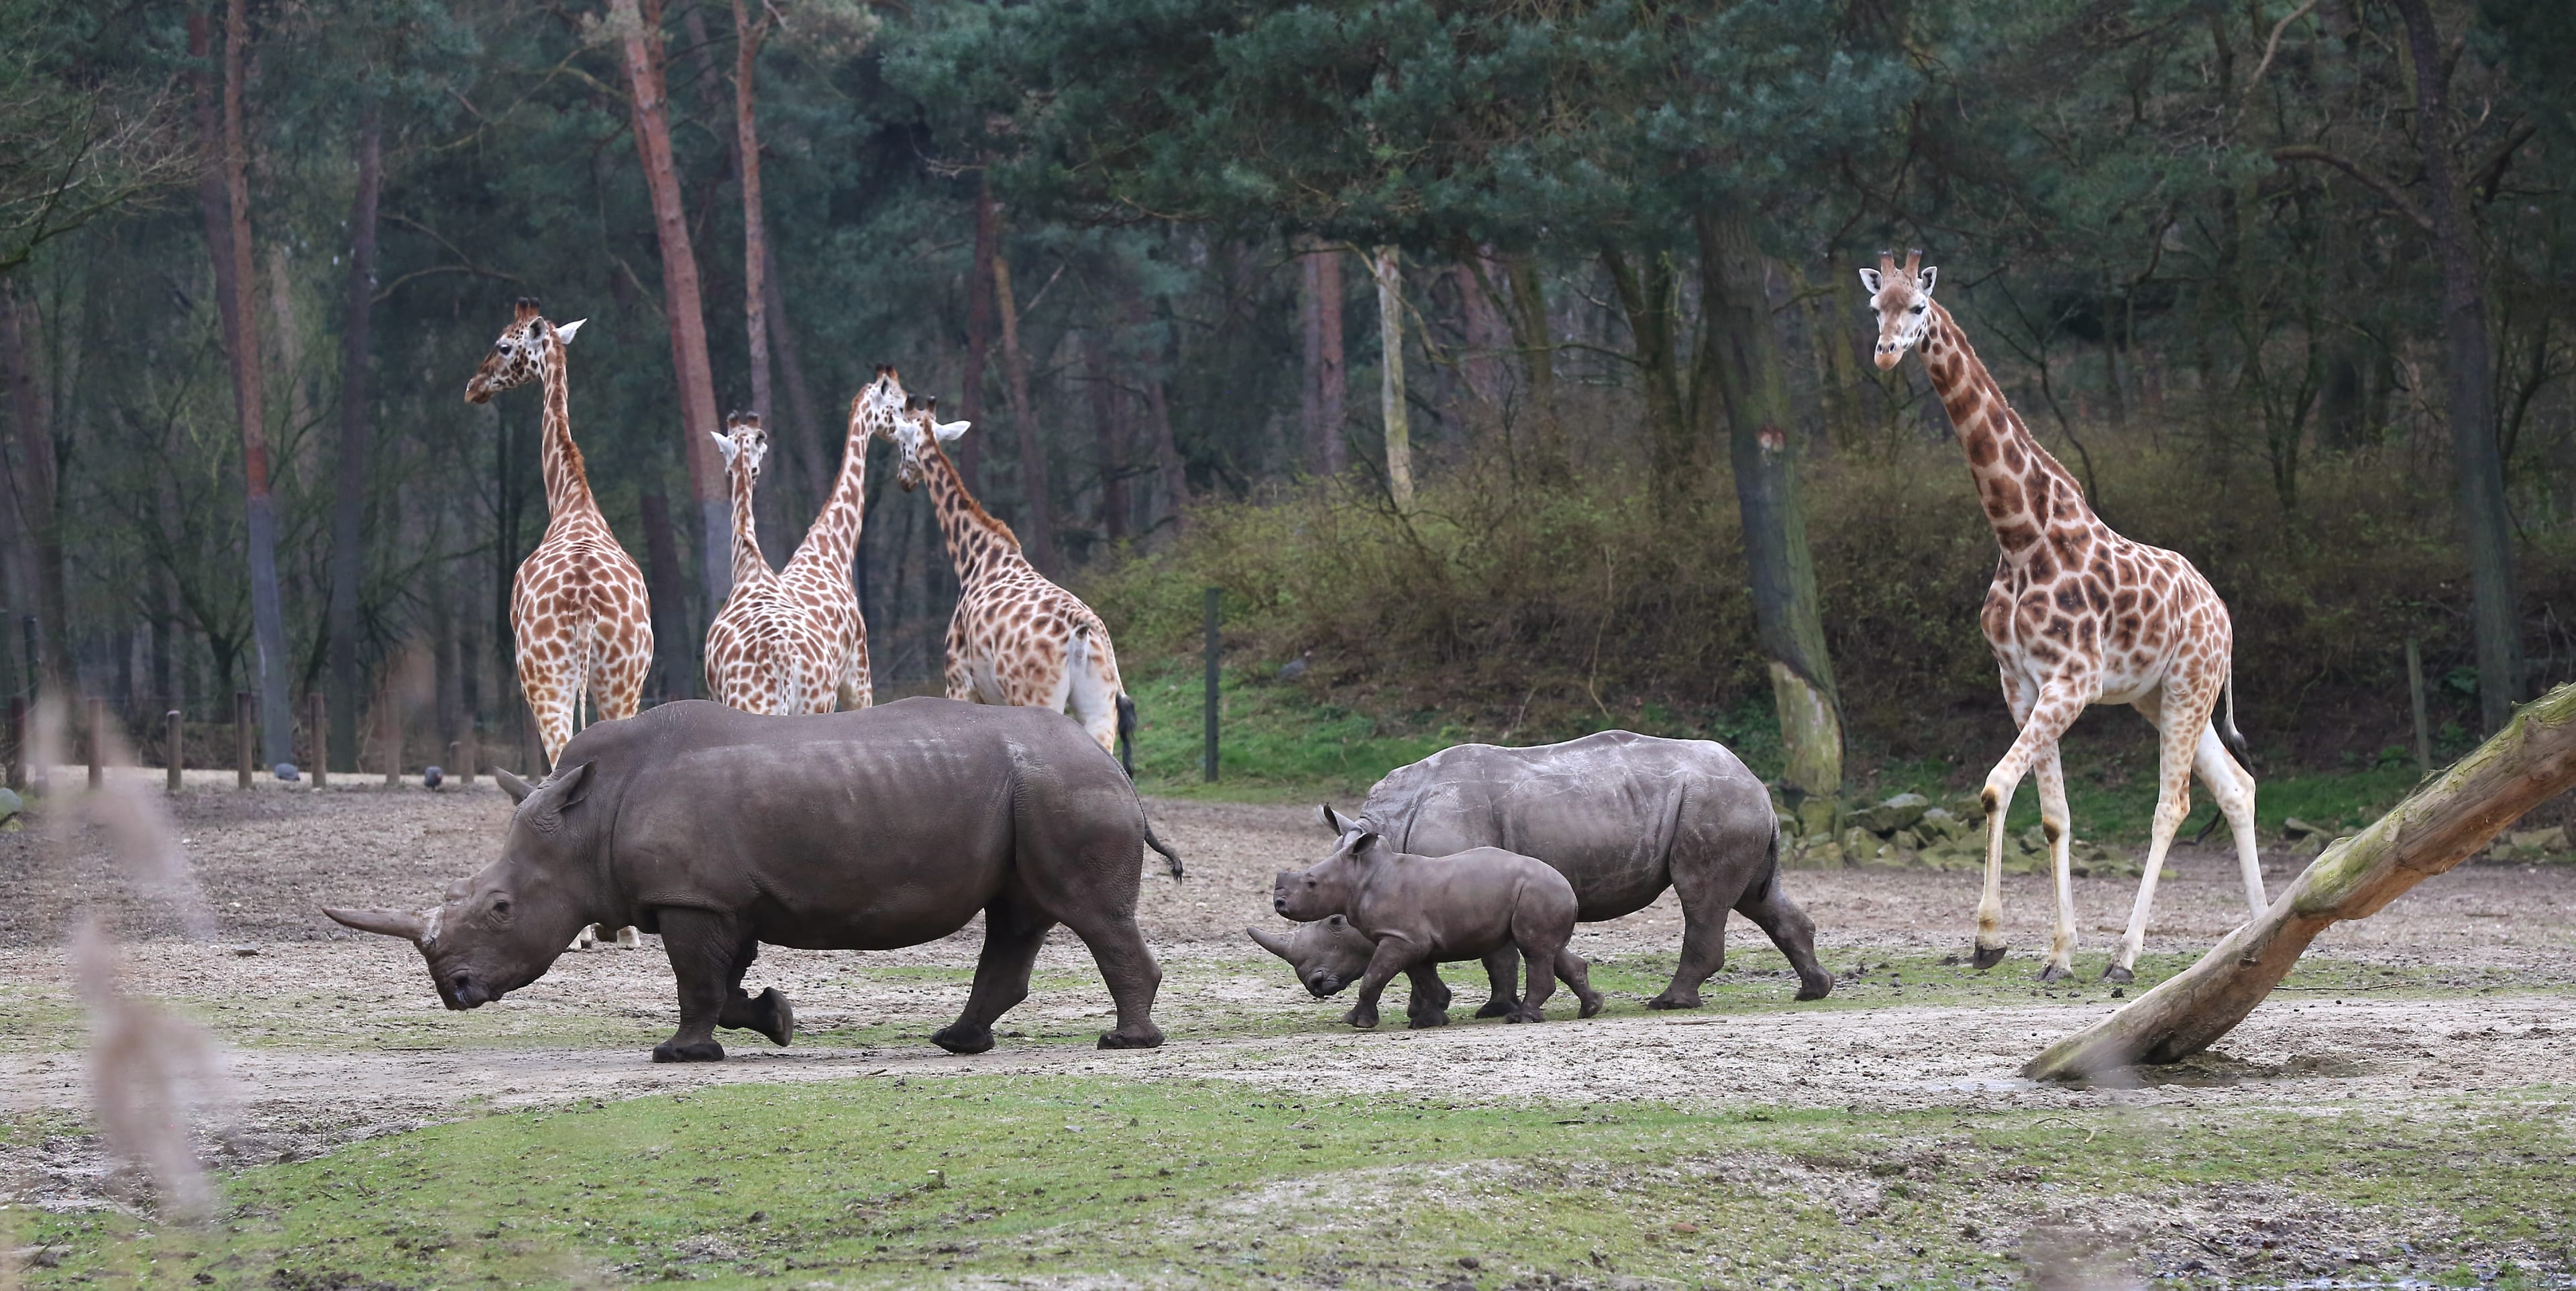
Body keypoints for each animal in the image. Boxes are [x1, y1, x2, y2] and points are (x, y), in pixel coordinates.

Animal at [463, 296, 652, 951]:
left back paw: (590, 930)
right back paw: (625, 928)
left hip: (544, 672)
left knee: (557, 754)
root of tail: (587, 599)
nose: (472, 387)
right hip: (621, 675)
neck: (572, 501)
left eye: (503, 344)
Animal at [701, 412, 840, 713]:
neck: (750, 564)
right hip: (818, 705)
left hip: (748, 703)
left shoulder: (714, 695)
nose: (750, 473)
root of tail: (785, 659)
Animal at [869, 379, 1138, 766]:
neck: (976, 556)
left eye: (903, 446)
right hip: (1100, 706)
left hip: (1039, 697)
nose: (903, 480)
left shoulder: (959, 682)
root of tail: (1082, 630)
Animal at [1860, 251, 2264, 983]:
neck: (2021, 536)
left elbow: (1995, 787)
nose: (1885, 352)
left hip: (2190, 686)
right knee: (2237, 787)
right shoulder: (2020, 684)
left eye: (1918, 308)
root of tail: (2223, 615)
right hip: (2161, 697)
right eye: (1877, 308)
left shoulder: (2071, 680)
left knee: (2173, 804)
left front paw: (1989, 938)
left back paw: (2126, 957)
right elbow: (2052, 816)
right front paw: (2057, 952)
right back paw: (2260, 930)